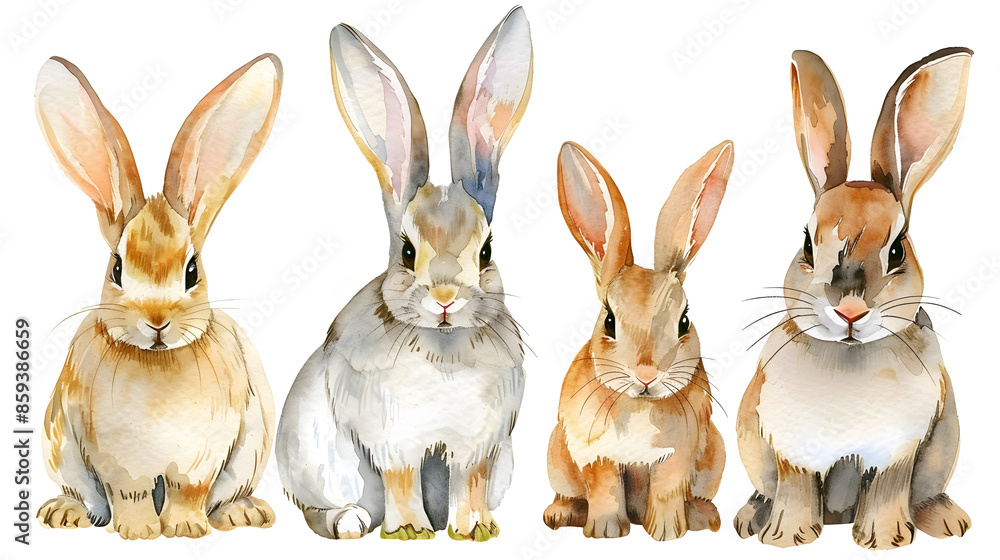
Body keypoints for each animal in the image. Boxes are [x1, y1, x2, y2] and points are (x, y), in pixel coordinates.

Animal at [34, 54, 282, 540]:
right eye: (116, 268)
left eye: (192, 271)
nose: (157, 321)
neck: (158, 361)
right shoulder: (118, 462)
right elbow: (129, 494)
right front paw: (139, 533)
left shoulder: (202, 458)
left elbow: (189, 493)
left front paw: (185, 530)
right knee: (83, 496)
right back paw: (64, 514)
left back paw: (243, 514)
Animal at [275, 7, 531, 542]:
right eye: (407, 251)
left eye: (487, 250)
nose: (446, 297)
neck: (444, 344)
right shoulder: (391, 439)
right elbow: (400, 480)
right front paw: (410, 531)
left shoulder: (480, 445)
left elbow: (470, 483)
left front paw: (475, 531)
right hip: (315, 462)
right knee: (321, 509)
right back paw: (351, 523)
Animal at [543, 140, 732, 540]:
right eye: (609, 321)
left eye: (684, 321)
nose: (647, 375)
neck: (639, 404)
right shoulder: (595, 454)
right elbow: (604, 490)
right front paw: (605, 532)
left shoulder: (677, 456)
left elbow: (666, 491)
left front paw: (667, 533)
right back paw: (560, 515)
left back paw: (703, 518)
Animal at [734, 47, 973, 549]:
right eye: (807, 244)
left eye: (898, 250)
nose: (849, 311)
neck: (849, 356)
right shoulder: (791, 452)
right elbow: (797, 489)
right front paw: (785, 538)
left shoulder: (897, 453)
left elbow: (886, 491)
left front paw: (884, 540)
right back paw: (750, 519)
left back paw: (948, 522)